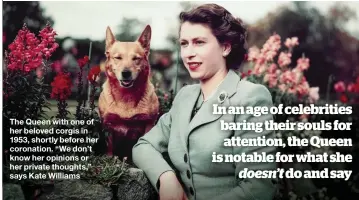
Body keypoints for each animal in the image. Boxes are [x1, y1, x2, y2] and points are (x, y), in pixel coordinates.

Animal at [99, 25, 160, 162]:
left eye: (136, 58)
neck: (126, 96)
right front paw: (110, 159)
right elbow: (109, 147)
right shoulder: (108, 125)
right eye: (118, 58)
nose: (126, 73)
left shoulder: (149, 123)